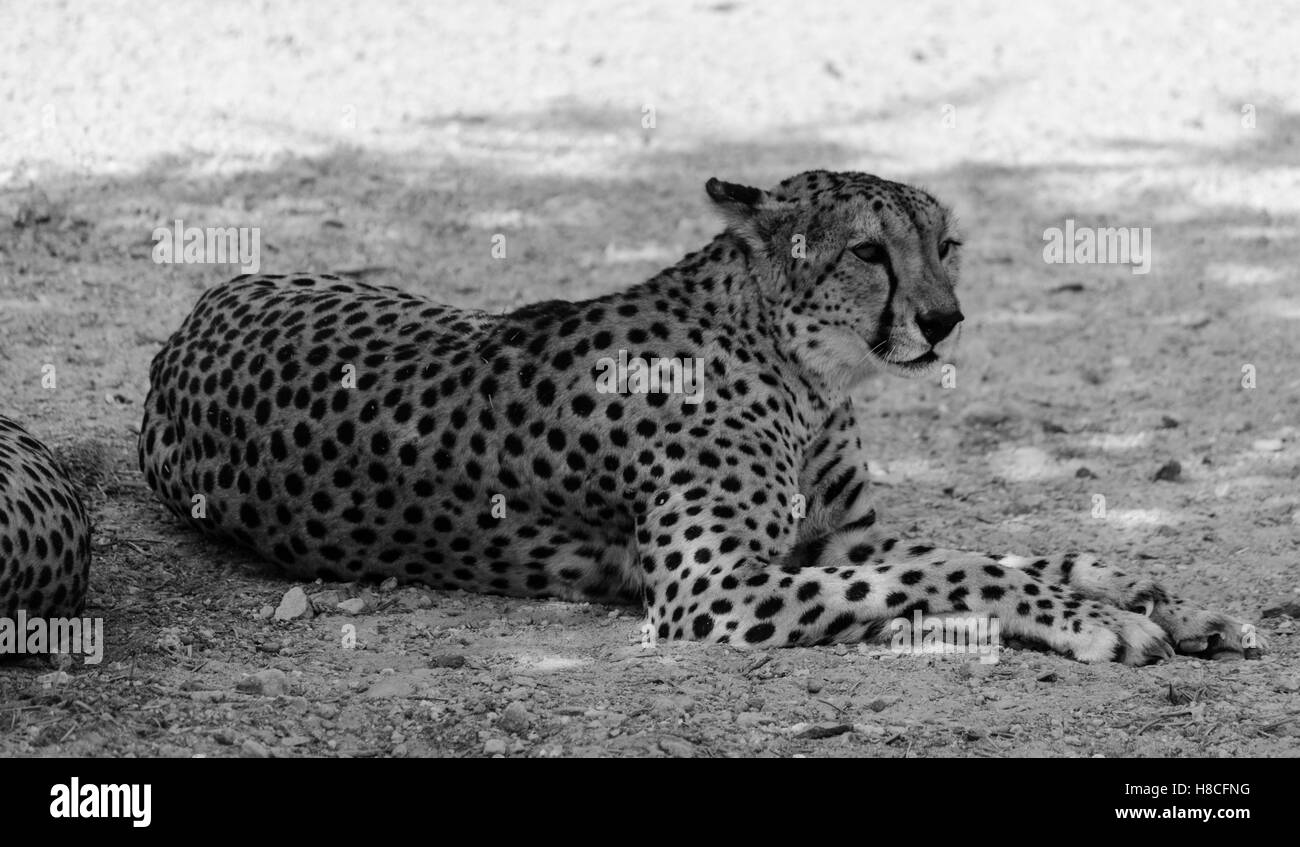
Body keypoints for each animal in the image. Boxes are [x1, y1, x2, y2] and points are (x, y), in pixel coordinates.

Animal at [139, 170, 1258, 662]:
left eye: (947, 244)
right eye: (869, 251)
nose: (945, 320)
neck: (799, 366)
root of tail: (192, 315)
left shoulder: (839, 537)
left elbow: (988, 553)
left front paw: (1147, 590)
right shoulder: (713, 594)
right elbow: (951, 571)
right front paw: (1099, 620)